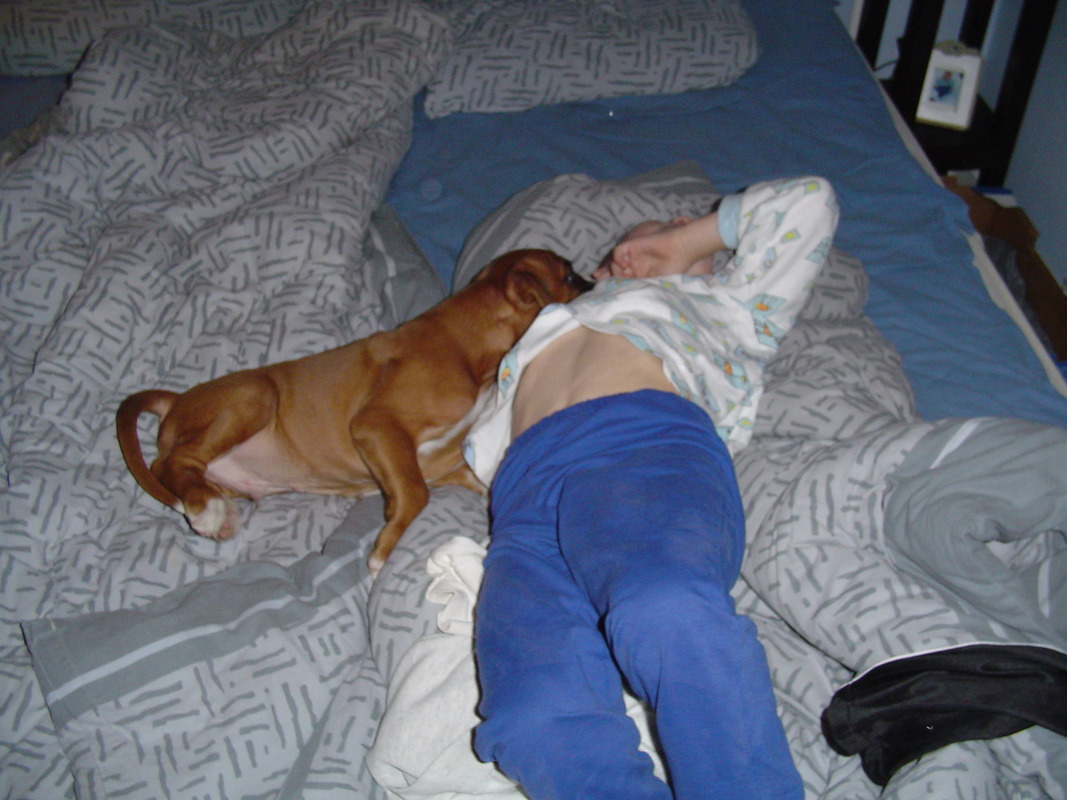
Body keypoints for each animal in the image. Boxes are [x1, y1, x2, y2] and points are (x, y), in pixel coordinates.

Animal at [117, 248, 591, 572]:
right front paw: (384, 549)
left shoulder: (440, 464)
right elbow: (415, 494)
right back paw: (206, 509)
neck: (465, 344)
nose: (595, 281)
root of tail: (177, 398)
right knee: (171, 462)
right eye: (569, 275)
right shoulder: (378, 426)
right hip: (254, 394)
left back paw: (217, 514)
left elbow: (469, 482)